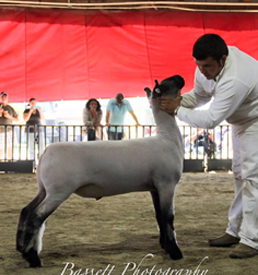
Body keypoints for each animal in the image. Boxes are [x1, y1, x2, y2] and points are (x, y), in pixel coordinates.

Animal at [16, 75, 184, 268]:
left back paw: (22, 249)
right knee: (36, 216)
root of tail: (45, 151)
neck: (167, 138)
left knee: (26, 210)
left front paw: (164, 245)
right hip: (58, 191)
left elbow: (159, 216)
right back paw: (33, 258)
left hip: (44, 190)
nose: (181, 78)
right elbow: (168, 217)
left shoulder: (154, 187)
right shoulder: (167, 184)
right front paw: (174, 251)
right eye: (168, 82)